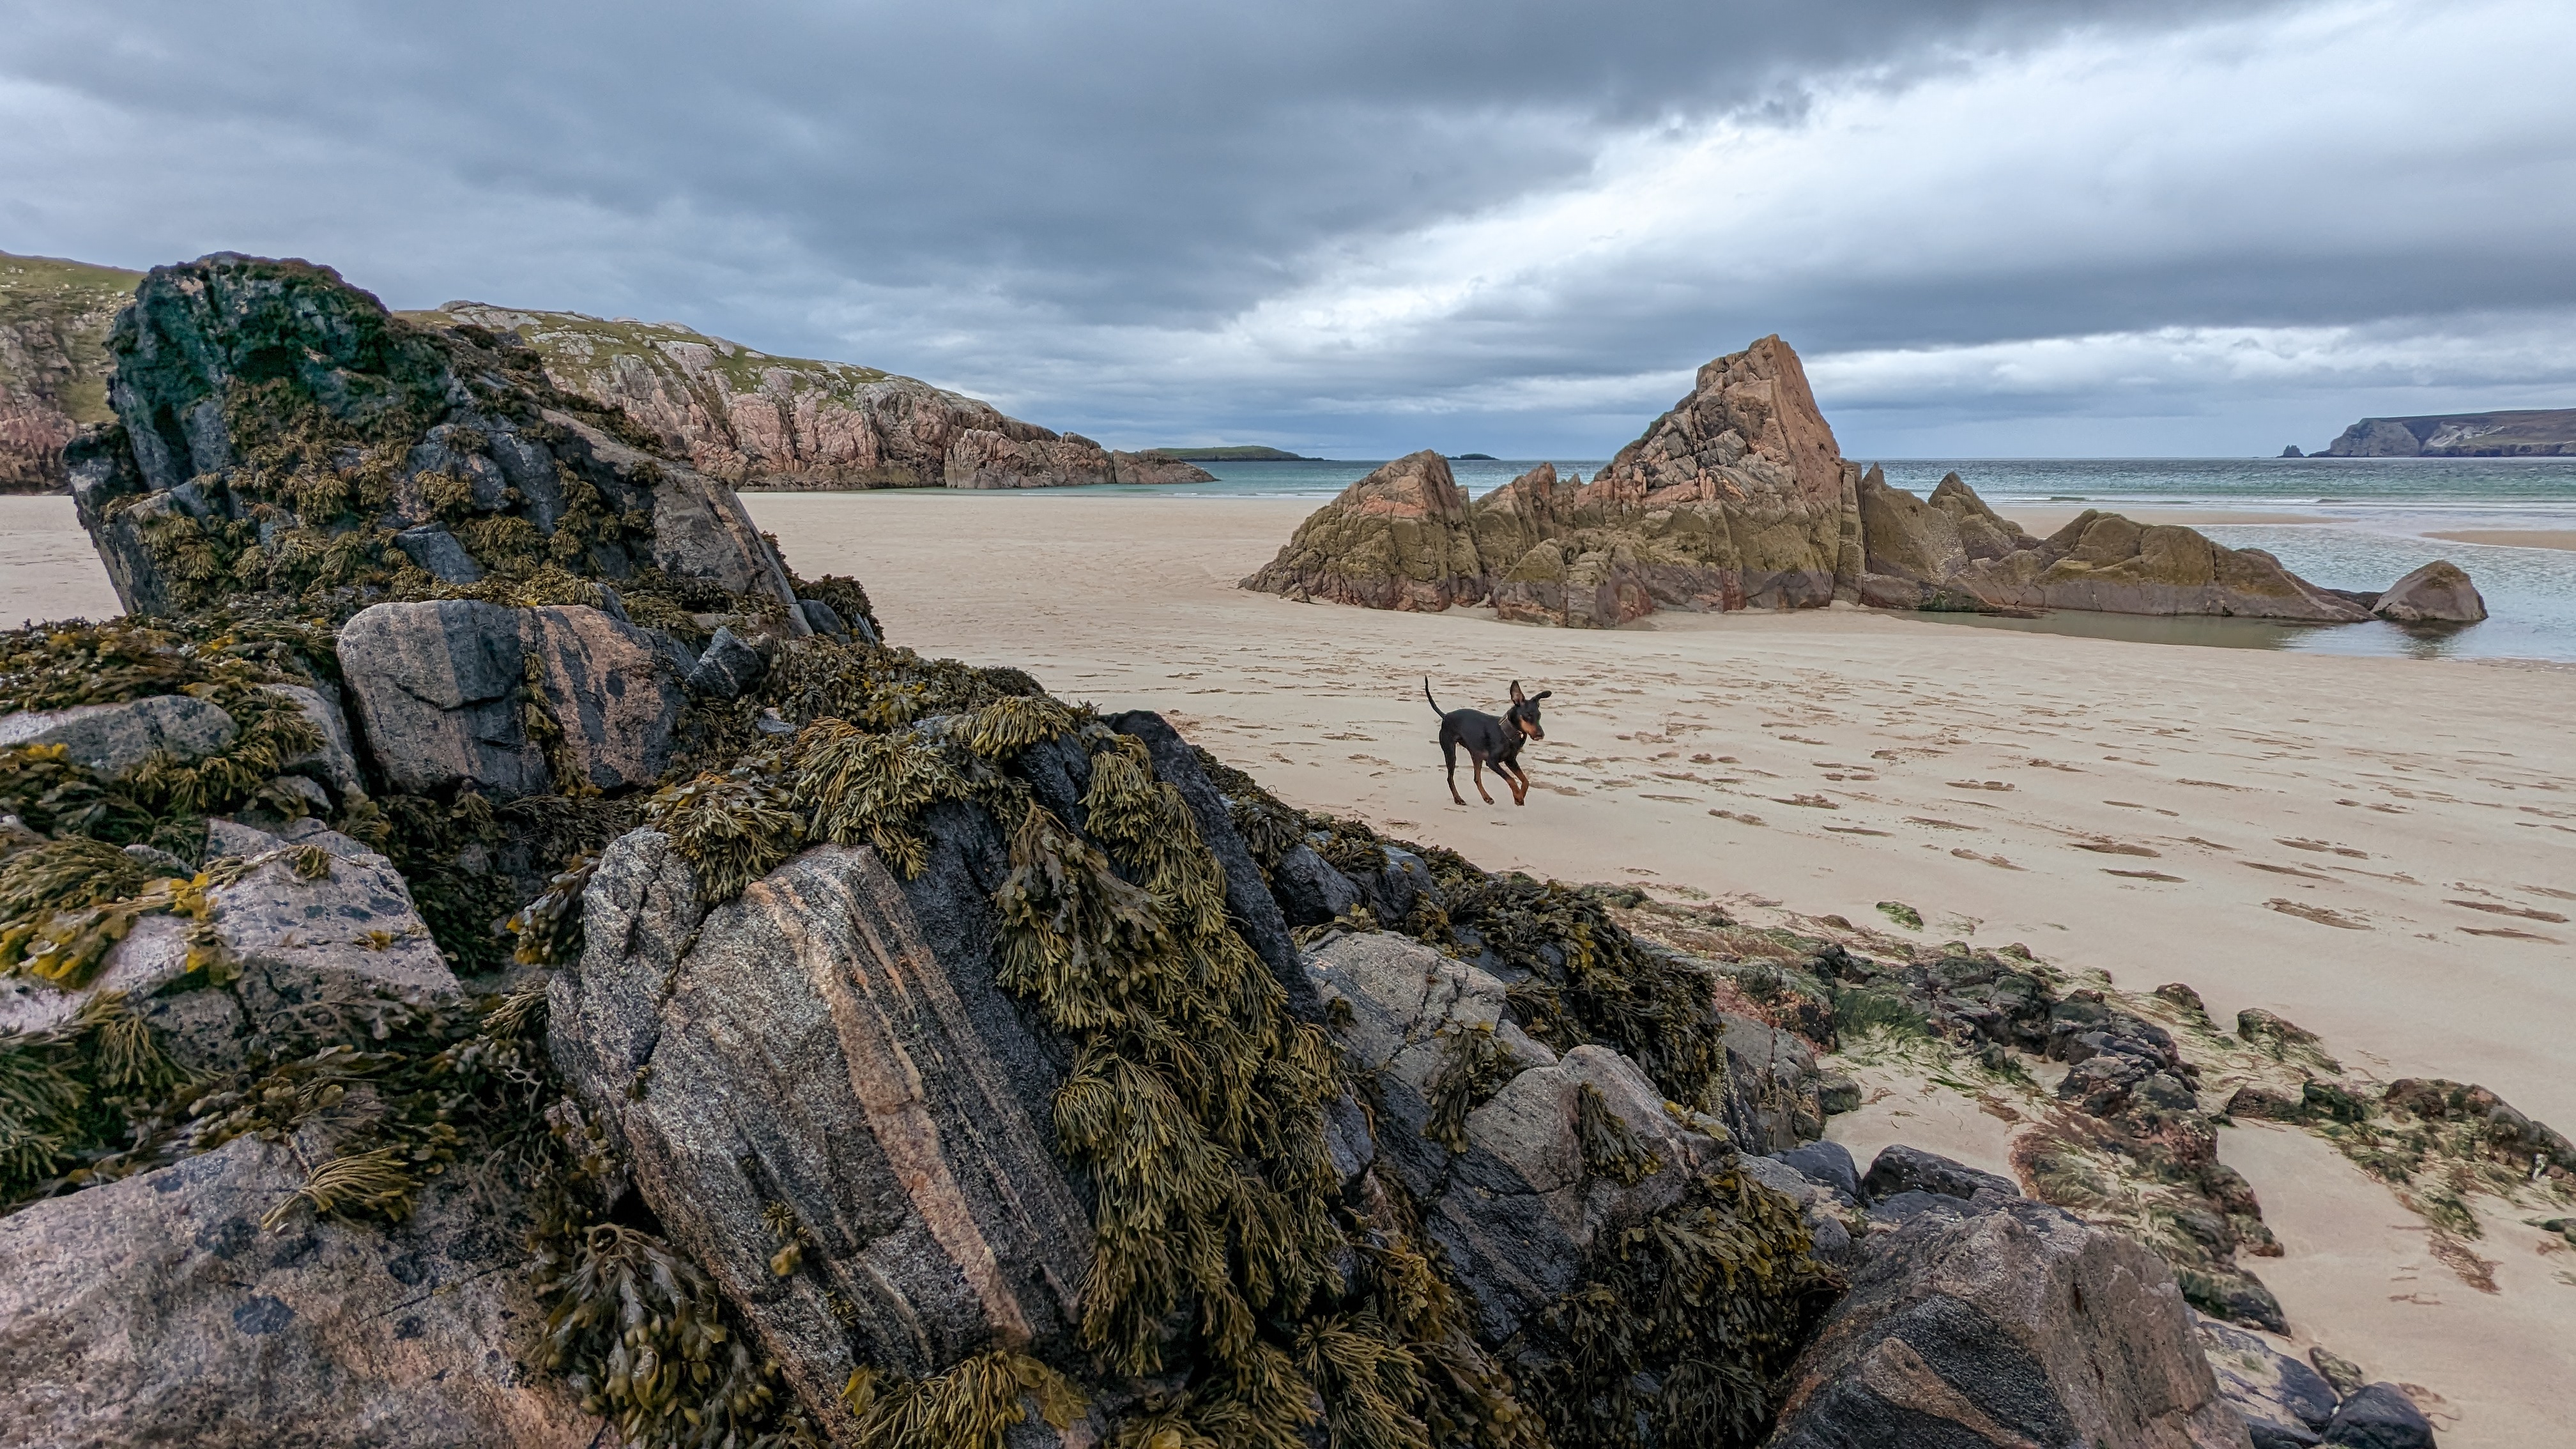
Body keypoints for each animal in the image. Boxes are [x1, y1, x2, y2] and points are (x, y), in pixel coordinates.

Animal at [1432, 675, 1545, 799]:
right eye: (1528, 715)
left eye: (1539, 715)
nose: (1541, 735)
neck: (1507, 733)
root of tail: (1446, 716)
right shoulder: (1492, 762)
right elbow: (1511, 779)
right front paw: (1518, 797)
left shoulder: (1511, 761)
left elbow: (1525, 781)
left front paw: (1520, 796)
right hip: (1450, 752)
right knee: (1450, 778)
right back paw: (1458, 799)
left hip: (1476, 755)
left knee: (1476, 779)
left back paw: (1486, 798)